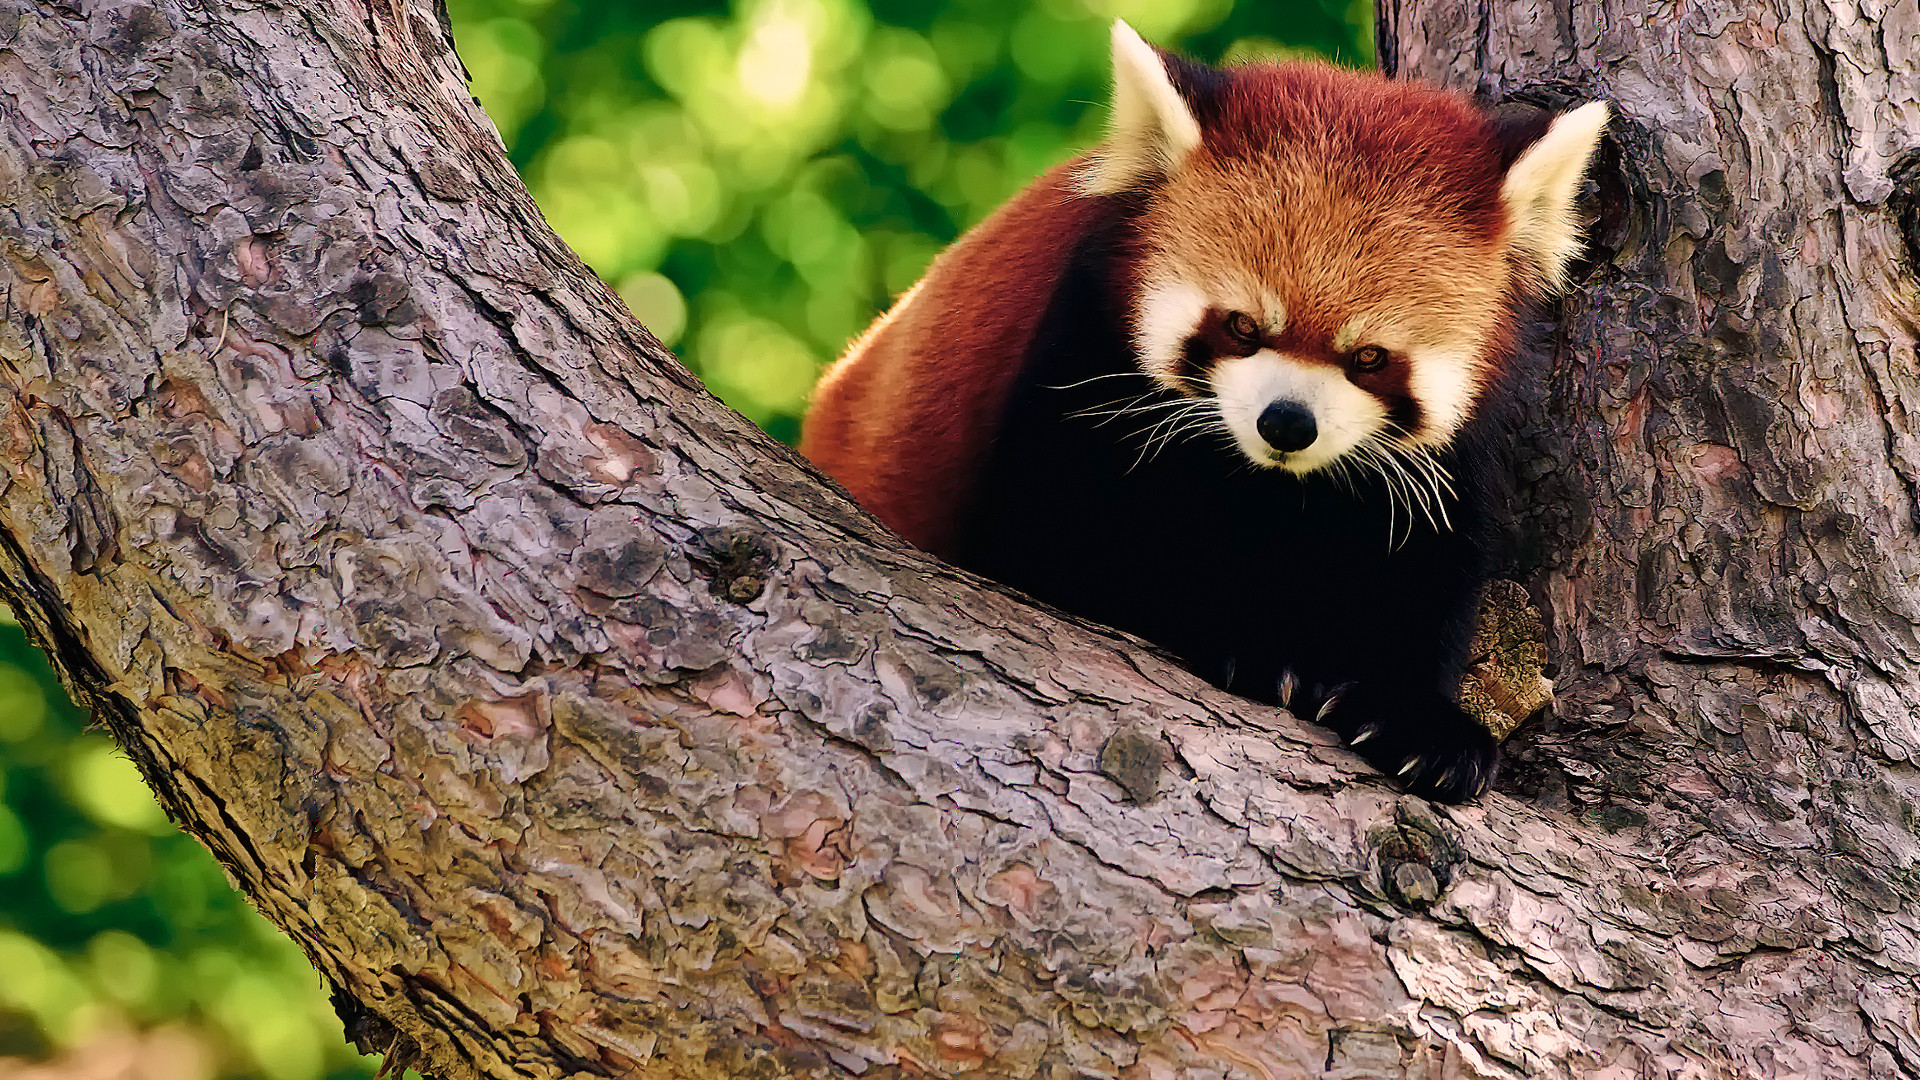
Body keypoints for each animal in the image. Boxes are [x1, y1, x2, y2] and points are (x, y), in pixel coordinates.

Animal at [801, 21, 1607, 802]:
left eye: (1371, 358)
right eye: (1243, 326)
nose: (1287, 424)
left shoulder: (1454, 455)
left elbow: (1429, 565)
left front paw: (1422, 724)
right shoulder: (1077, 352)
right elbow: (1062, 548)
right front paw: (1249, 644)